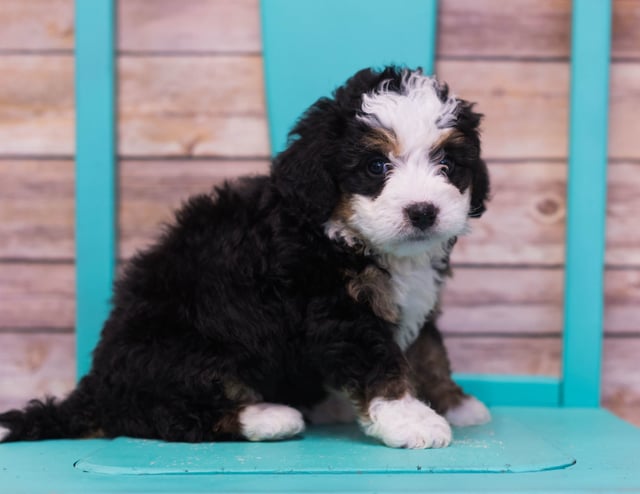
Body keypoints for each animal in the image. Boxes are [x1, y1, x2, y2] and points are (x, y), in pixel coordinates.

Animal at [0, 64, 490, 448]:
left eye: (448, 163)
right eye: (376, 166)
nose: (423, 211)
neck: (345, 233)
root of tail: (97, 388)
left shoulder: (416, 301)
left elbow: (429, 350)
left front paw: (454, 402)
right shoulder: (334, 307)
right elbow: (381, 362)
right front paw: (412, 420)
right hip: (179, 351)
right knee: (170, 415)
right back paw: (271, 416)